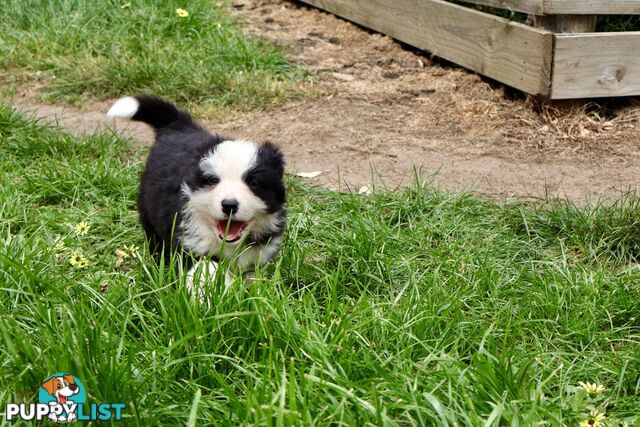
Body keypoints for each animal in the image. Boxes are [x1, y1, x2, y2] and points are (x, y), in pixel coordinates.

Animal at [107, 95, 284, 290]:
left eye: (254, 183)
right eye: (213, 180)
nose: (229, 205)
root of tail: (180, 126)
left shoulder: (257, 254)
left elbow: (253, 279)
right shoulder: (190, 243)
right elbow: (208, 269)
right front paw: (215, 294)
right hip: (147, 210)